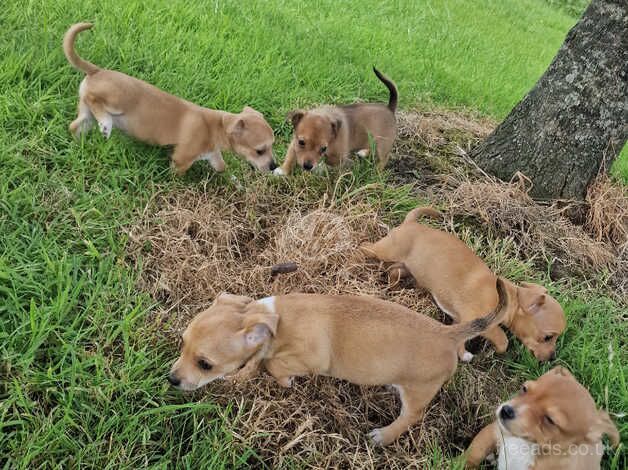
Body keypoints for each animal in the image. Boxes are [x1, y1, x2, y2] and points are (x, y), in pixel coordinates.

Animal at [62, 23, 276, 174]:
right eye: (259, 150)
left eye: (272, 146)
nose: (274, 166)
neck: (216, 127)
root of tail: (96, 70)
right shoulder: (182, 158)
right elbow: (178, 172)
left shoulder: (212, 153)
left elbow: (221, 166)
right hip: (117, 99)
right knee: (95, 101)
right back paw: (106, 125)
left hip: (87, 115)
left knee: (75, 125)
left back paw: (79, 144)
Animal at [169, 280, 508, 446]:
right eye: (182, 343)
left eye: (204, 364)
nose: (171, 379)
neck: (267, 317)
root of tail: (448, 333)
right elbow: (256, 362)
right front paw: (240, 377)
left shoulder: (310, 360)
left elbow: (274, 366)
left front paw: (283, 381)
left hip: (418, 392)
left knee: (410, 417)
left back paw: (383, 436)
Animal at [358, 207, 568, 362]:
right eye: (548, 337)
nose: (552, 358)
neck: (506, 297)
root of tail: (411, 223)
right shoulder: (478, 319)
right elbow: (502, 339)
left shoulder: (460, 321)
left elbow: (460, 336)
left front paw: (462, 353)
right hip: (385, 251)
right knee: (363, 247)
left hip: (407, 267)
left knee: (394, 271)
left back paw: (392, 289)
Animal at [466, 368, 620, 470]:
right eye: (524, 389)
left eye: (550, 420)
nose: (506, 411)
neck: (526, 446)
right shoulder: (494, 431)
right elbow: (474, 452)